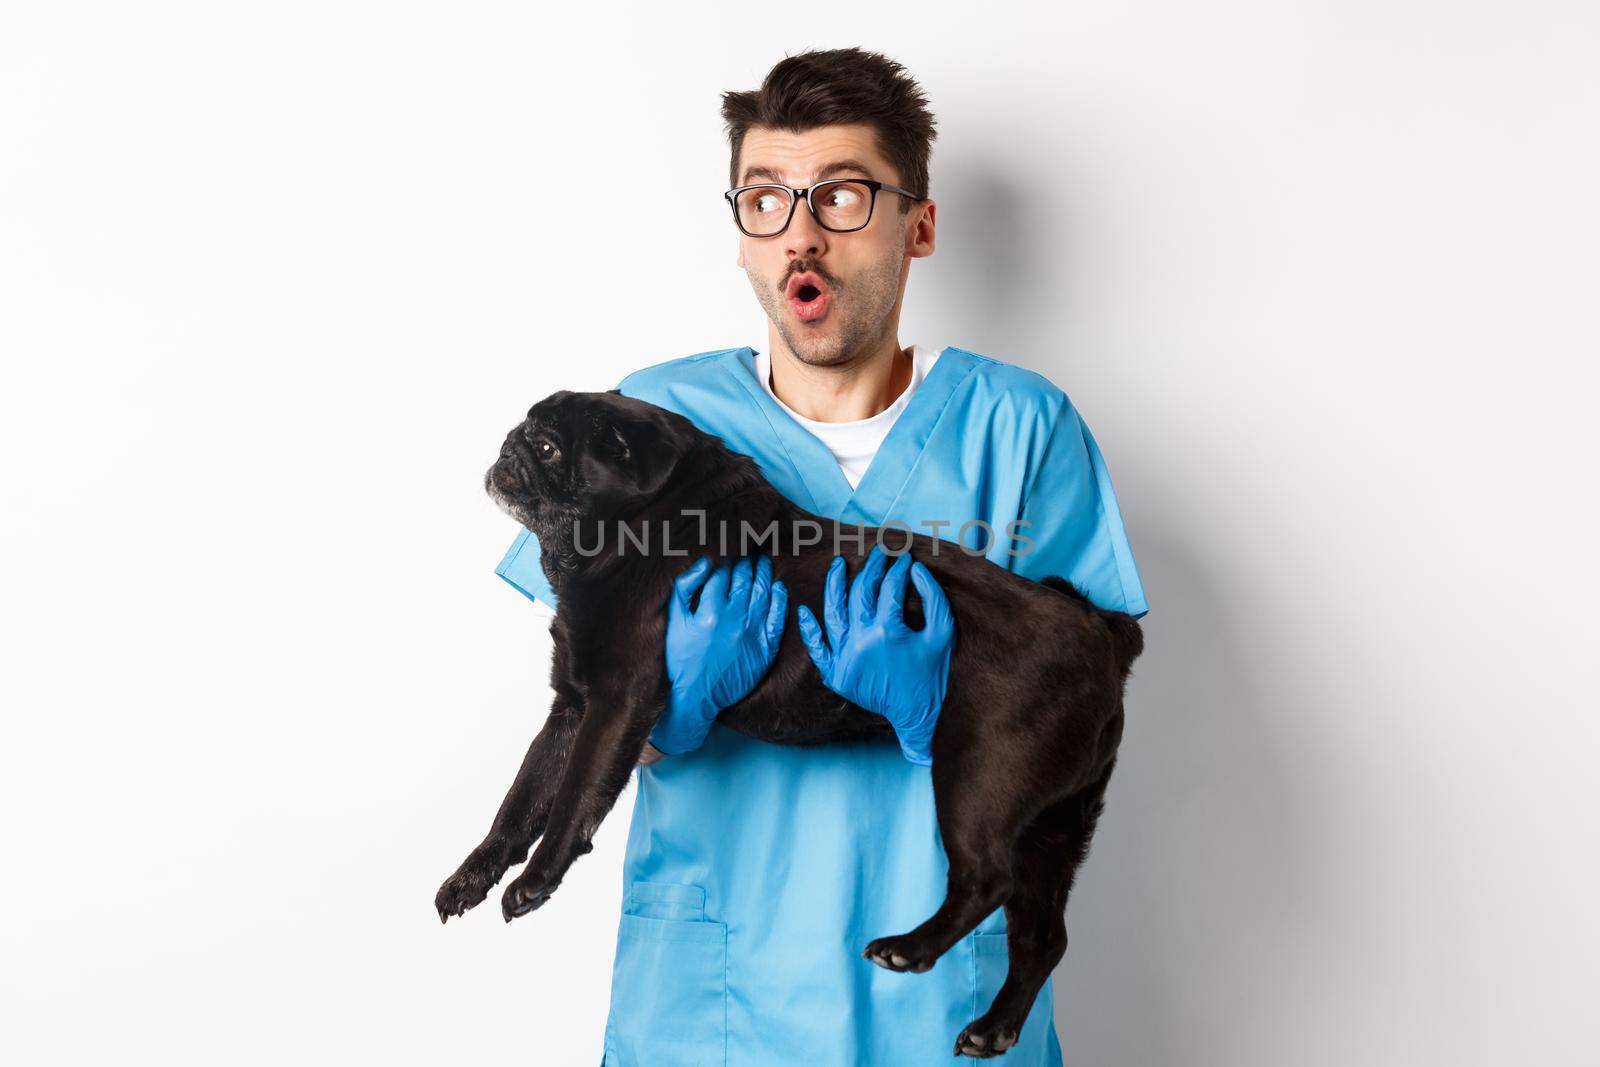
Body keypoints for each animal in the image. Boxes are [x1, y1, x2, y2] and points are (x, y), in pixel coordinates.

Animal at [432, 388, 1145, 1055]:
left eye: (549, 448)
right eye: (527, 433)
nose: (511, 443)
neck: (635, 527)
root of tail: (1102, 632)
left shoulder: (615, 706)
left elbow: (571, 801)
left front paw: (535, 881)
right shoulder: (570, 709)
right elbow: (520, 803)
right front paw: (473, 876)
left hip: (978, 778)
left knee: (987, 878)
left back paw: (911, 949)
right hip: (1054, 826)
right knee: (1043, 936)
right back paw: (994, 1028)